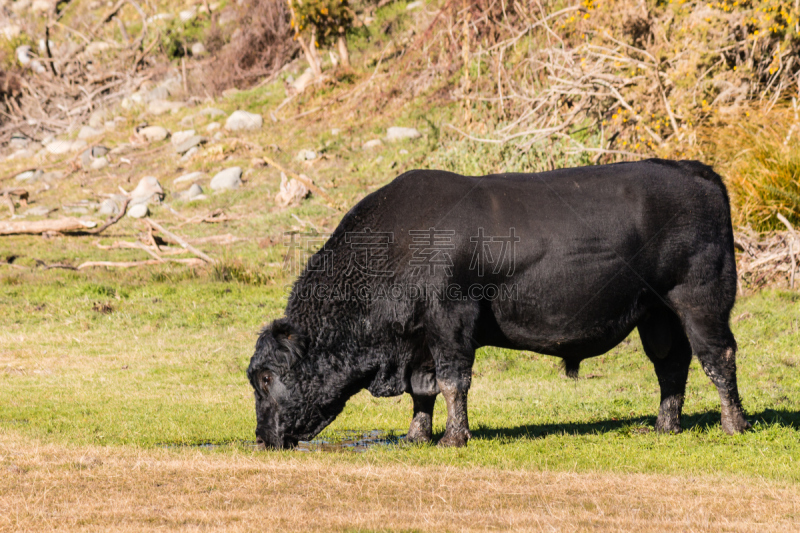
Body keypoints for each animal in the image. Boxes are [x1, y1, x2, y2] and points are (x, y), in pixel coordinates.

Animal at [245, 159, 752, 448]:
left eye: (266, 377)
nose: (262, 437)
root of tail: (695, 169)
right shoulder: (419, 340)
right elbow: (423, 390)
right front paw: (416, 437)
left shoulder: (451, 320)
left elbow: (452, 382)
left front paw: (453, 438)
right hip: (657, 314)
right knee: (671, 364)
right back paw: (665, 427)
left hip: (700, 299)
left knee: (718, 356)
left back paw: (734, 425)